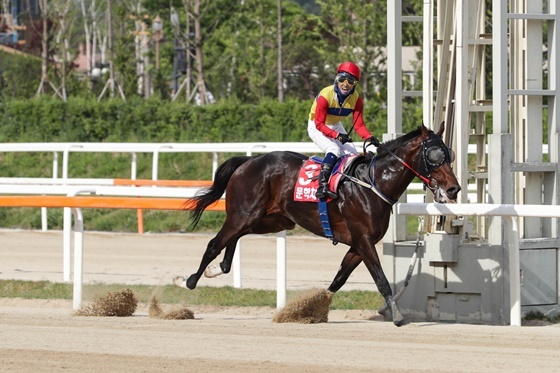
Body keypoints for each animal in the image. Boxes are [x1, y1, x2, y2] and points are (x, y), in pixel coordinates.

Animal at [175, 123, 460, 326]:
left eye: (450, 154)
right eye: (434, 155)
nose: (453, 189)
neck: (373, 183)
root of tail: (247, 162)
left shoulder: (358, 245)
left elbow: (339, 279)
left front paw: (310, 309)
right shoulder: (364, 240)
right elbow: (381, 279)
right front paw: (398, 316)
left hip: (270, 219)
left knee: (233, 239)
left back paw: (217, 268)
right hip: (245, 214)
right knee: (214, 243)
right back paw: (187, 280)